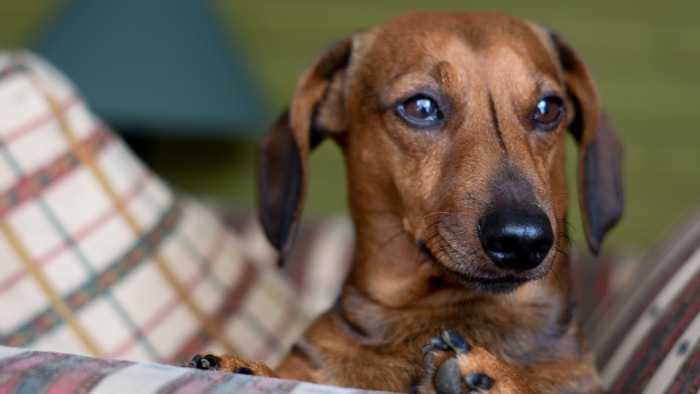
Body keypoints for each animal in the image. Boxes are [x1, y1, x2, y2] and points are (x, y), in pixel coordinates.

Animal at [187, 10, 624, 394]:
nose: (523, 240)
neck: (439, 310)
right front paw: (246, 367)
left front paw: (498, 376)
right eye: (421, 106)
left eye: (549, 108)